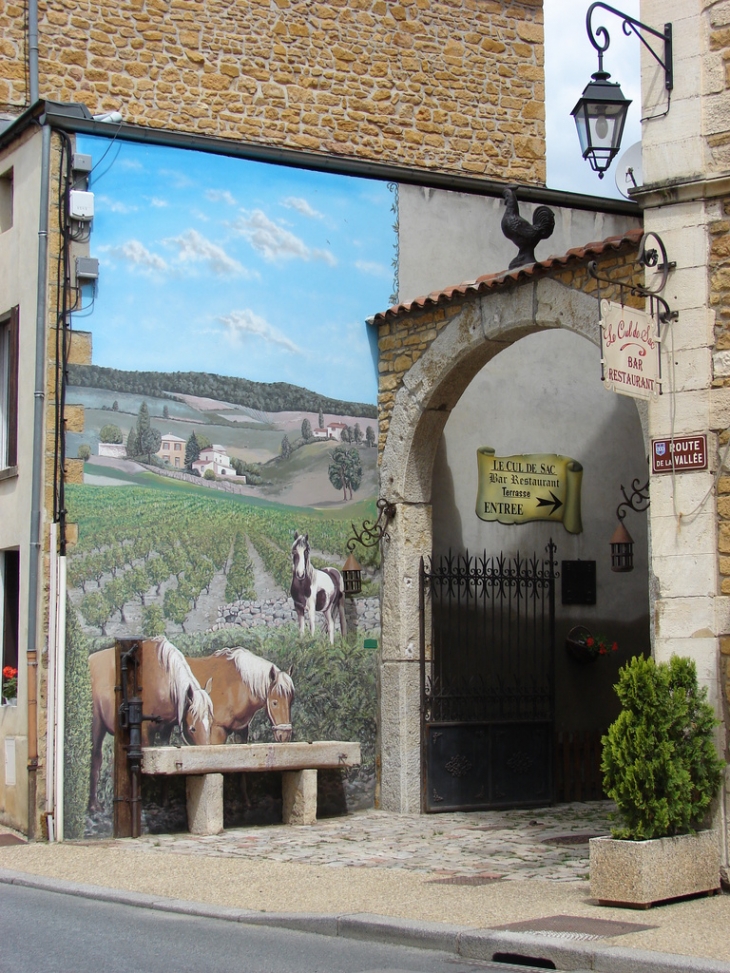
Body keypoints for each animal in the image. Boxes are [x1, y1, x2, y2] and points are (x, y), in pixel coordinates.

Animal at [87, 636, 213, 812]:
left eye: (211, 724)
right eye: (193, 728)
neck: (164, 681)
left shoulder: (166, 731)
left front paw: (164, 801)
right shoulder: (146, 733)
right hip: (96, 726)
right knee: (96, 759)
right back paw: (93, 805)